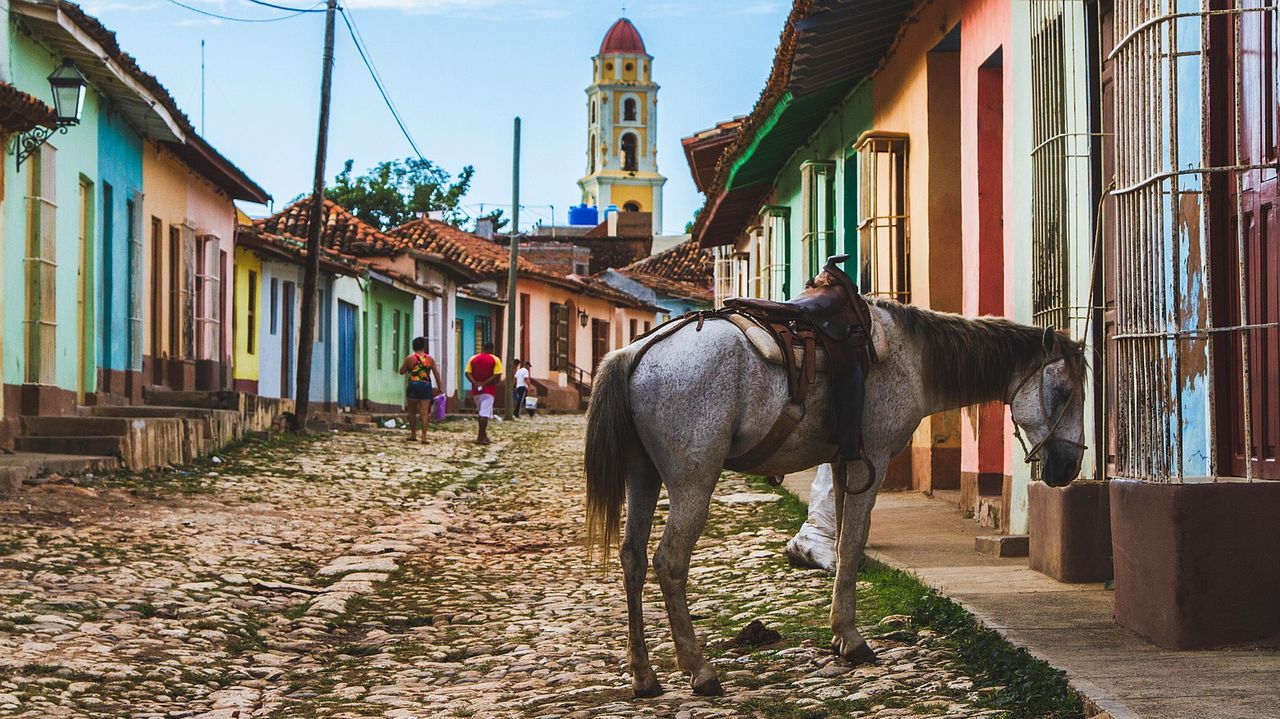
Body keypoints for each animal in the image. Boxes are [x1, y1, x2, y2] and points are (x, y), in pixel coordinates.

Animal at [586, 298, 1085, 695]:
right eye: (1063, 391)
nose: (1068, 468)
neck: (909, 355)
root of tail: (634, 352)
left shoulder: (845, 465)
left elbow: (844, 542)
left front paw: (840, 635)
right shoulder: (872, 462)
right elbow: (852, 543)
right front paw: (852, 640)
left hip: (643, 477)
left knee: (632, 558)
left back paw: (644, 676)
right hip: (693, 484)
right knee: (669, 563)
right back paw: (700, 670)